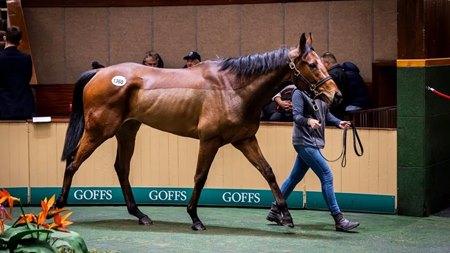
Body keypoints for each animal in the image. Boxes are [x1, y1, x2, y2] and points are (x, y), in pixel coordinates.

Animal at [58, 32, 342, 230]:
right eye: (312, 64)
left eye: (322, 62)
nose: (336, 95)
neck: (232, 87)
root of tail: (99, 72)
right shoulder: (209, 140)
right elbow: (200, 177)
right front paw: (194, 218)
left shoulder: (245, 139)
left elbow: (268, 172)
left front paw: (285, 215)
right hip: (99, 131)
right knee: (73, 162)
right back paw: (58, 206)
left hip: (127, 130)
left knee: (122, 168)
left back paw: (140, 215)